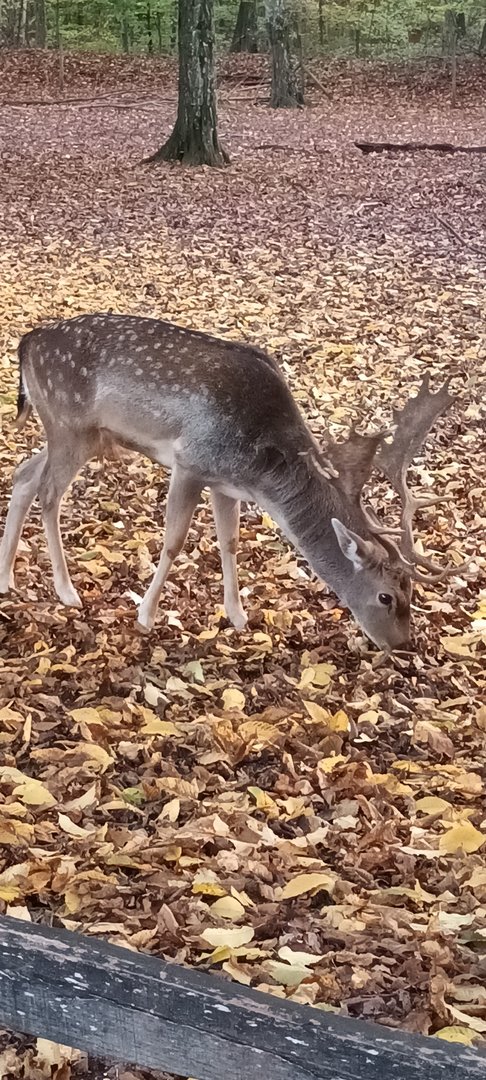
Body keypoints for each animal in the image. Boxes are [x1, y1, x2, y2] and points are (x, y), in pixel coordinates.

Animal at [0, 314, 461, 650]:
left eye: (412, 594)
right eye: (387, 596)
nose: (403, 646)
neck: (260, 471)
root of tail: (28, 342)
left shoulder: (226, 484)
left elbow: (230, 541)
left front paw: (238, 615)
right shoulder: (190, 461)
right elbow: (173, 542)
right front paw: (146, 616)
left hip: (86, 434)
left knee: (24, 475)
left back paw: (6, 580)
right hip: (69, 423)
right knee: (48, 493)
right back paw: (67, 591)